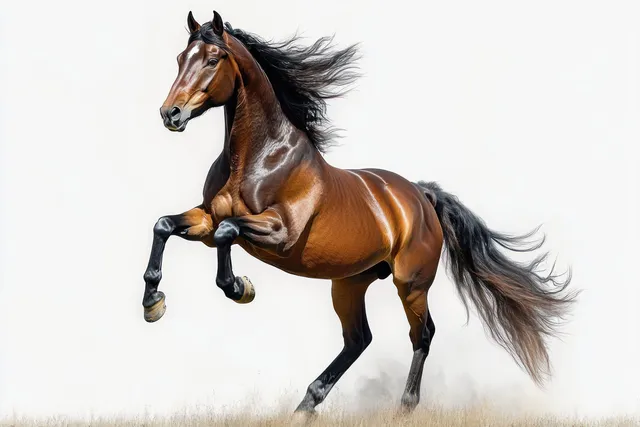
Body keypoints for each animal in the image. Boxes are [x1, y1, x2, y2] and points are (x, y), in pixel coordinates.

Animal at [143, 10, 577, 418]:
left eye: (213, 59)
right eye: (181, 58)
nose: (170, 114)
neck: (260, 159)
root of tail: (420, 195)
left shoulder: (280, 233)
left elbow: (228, 233)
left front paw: (239, 287)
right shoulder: (205, 218)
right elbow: (165, 225)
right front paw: (153, 303)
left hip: (410, 283)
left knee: (422, 335)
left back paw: (404, 407)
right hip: (349, 283)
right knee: (358, 339)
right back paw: (306, 405)